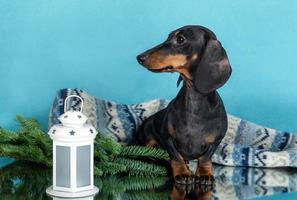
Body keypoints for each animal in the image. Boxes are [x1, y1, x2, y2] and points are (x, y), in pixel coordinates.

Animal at [135, 25, 231, 186]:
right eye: (168, 36)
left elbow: (205, 158)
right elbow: (176, 156)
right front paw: (182, 173)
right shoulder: (167, 137)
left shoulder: (216, 141)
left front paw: (204, 174)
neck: (194, 101)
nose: (140, 57)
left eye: (180, 39)